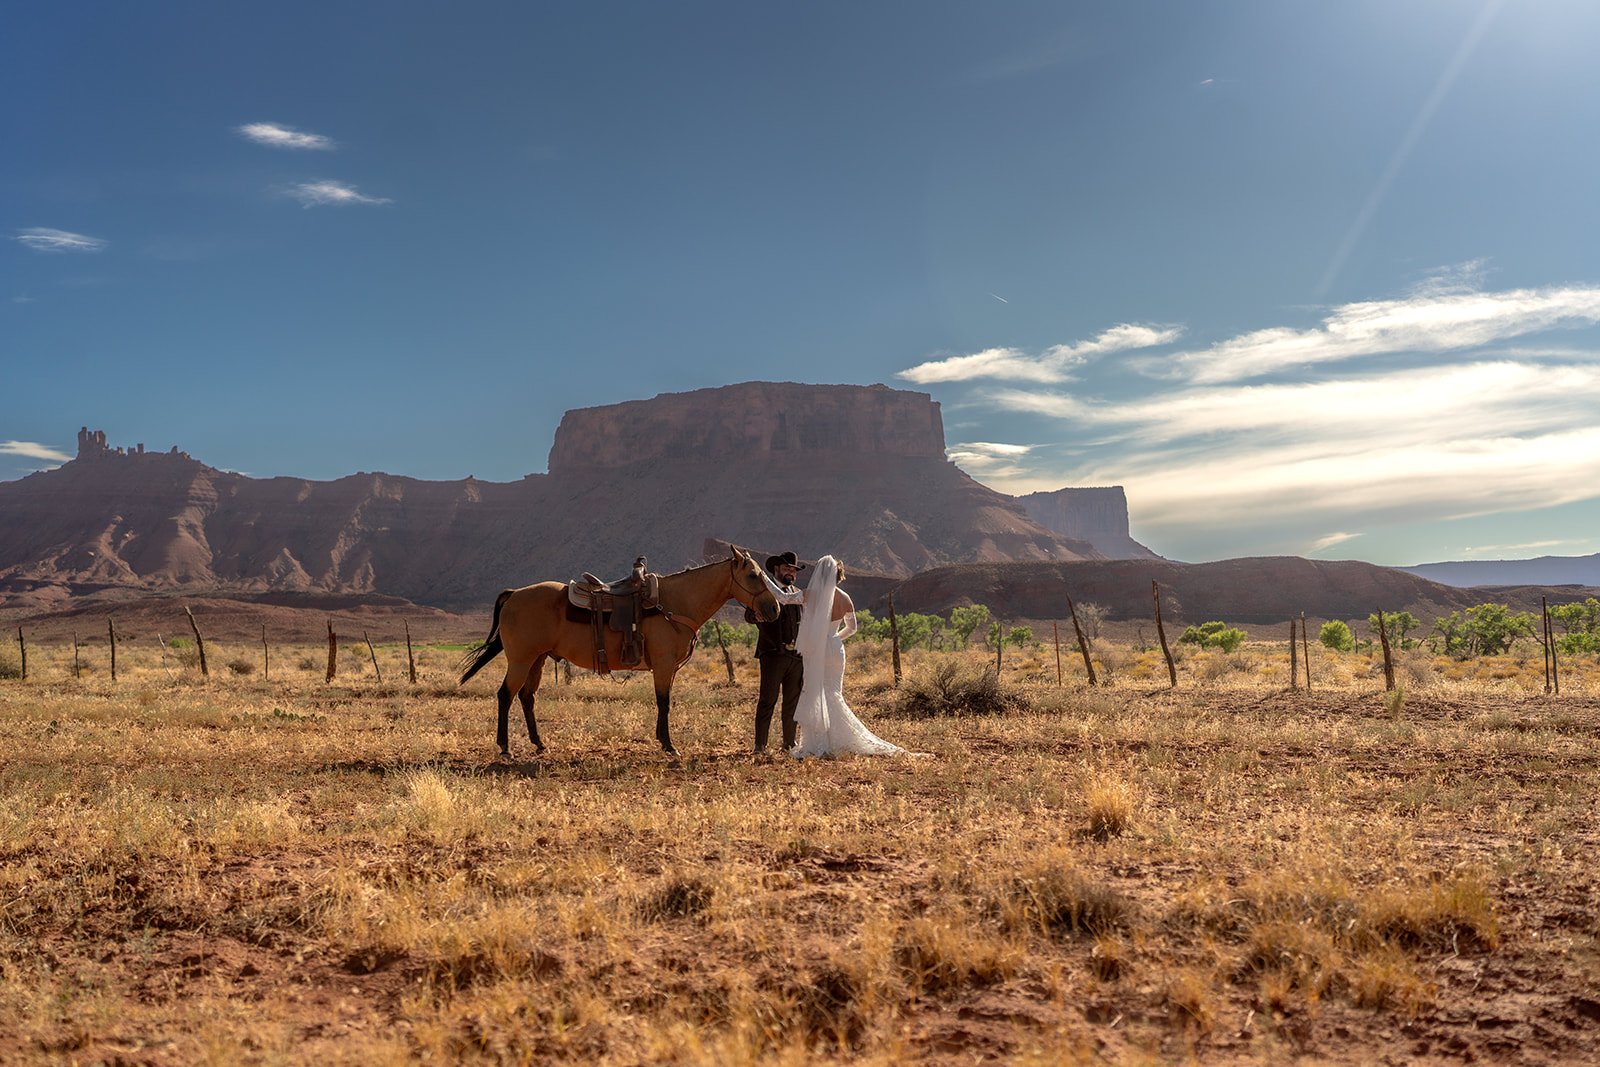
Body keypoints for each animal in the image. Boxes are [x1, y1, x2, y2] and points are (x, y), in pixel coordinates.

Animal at [457, 549, 780, 757]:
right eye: (753, 575)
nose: (774, 609)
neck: (675, 602)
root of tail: (514, 594)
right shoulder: (663, 665)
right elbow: (664, 702)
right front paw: (668, 745)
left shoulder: (669, 668)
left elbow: (664, 702)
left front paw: (663, 741)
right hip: (520, 660)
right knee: (505, 695)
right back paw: (505, 748)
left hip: (537, 659)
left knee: (527, 697)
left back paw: (539, 743)